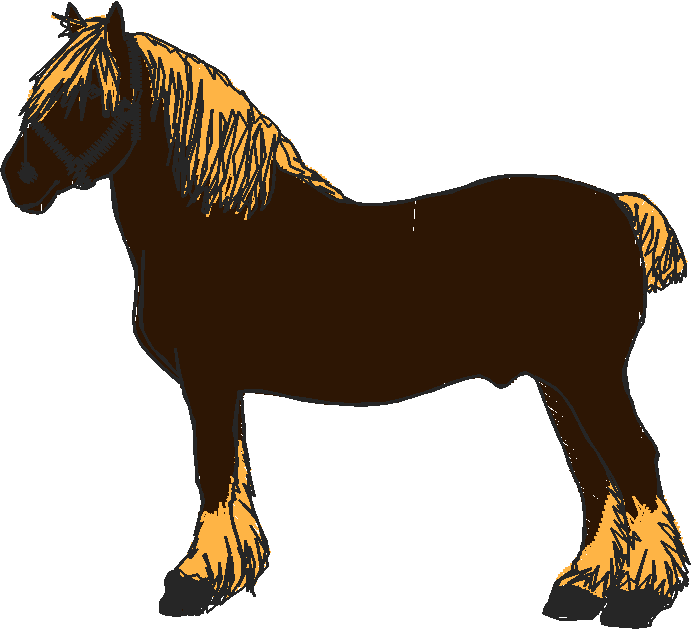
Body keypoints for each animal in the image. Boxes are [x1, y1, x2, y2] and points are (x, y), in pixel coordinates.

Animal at [3, 3, 689, 623]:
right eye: (42, 92)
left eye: (89, 98)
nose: (18, 181)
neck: (217, 225)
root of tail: (620, 210)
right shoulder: (222, 387)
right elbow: (235, 474)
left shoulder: (207, 381)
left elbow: (215, 475)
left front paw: (197, 584)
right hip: (558, 383)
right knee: (598, 480)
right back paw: (583, 590)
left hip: (587, 377)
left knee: (632, 464)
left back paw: (640, 599)